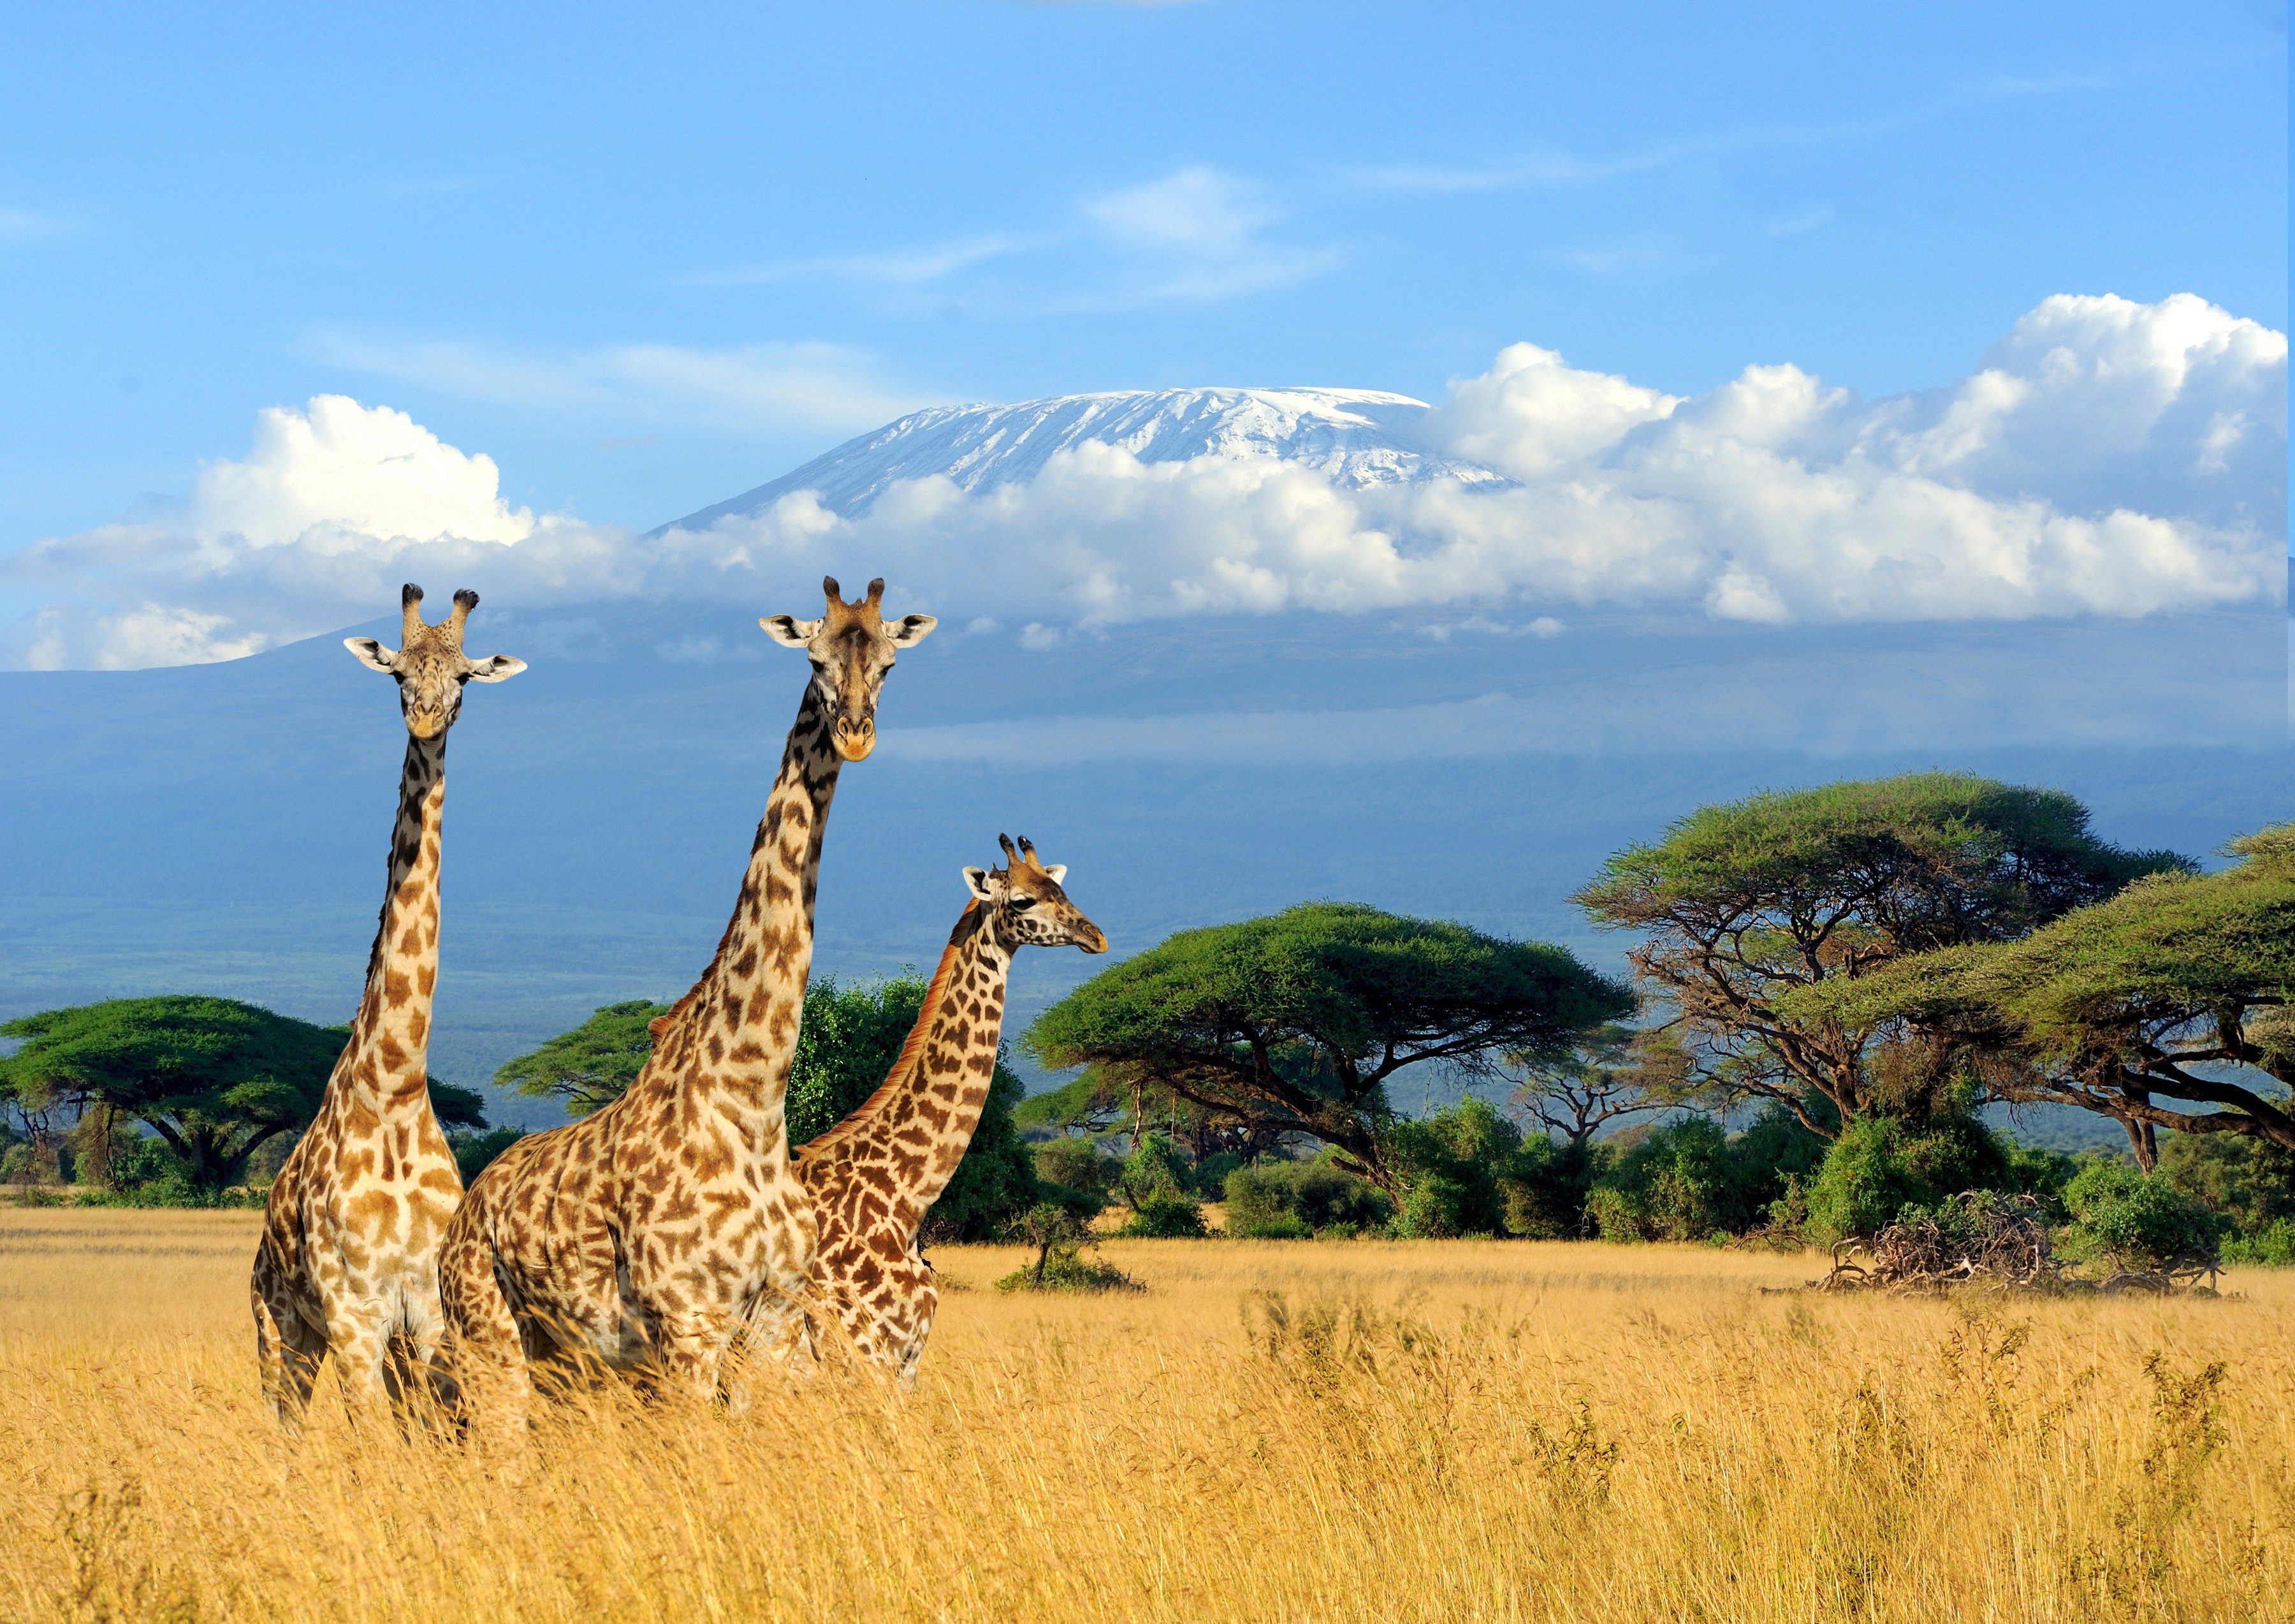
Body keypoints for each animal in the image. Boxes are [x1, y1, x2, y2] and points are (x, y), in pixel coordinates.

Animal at [252, 587, 528, 1431]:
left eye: (465, 677)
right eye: (399, 673)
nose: (428, 719)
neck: (397, 1084)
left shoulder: (427, 1313)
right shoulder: (354, 1313)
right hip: (280, 1326)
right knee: (283, 1425)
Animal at [442, 573, 936, 1431]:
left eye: (889, 663)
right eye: (813, 659)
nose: (855, 734)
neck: (752, 1099)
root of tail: (461, 1218)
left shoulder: (772, 1323)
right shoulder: (689, 1324)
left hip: (565, 1361)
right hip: (489, 1336)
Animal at [785, 839, 1106, 1385]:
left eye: (1062, 889)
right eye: (1023, 901)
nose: (1096, 936)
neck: (905, 1201)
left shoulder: (906, 1360)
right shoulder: (861, 1355)